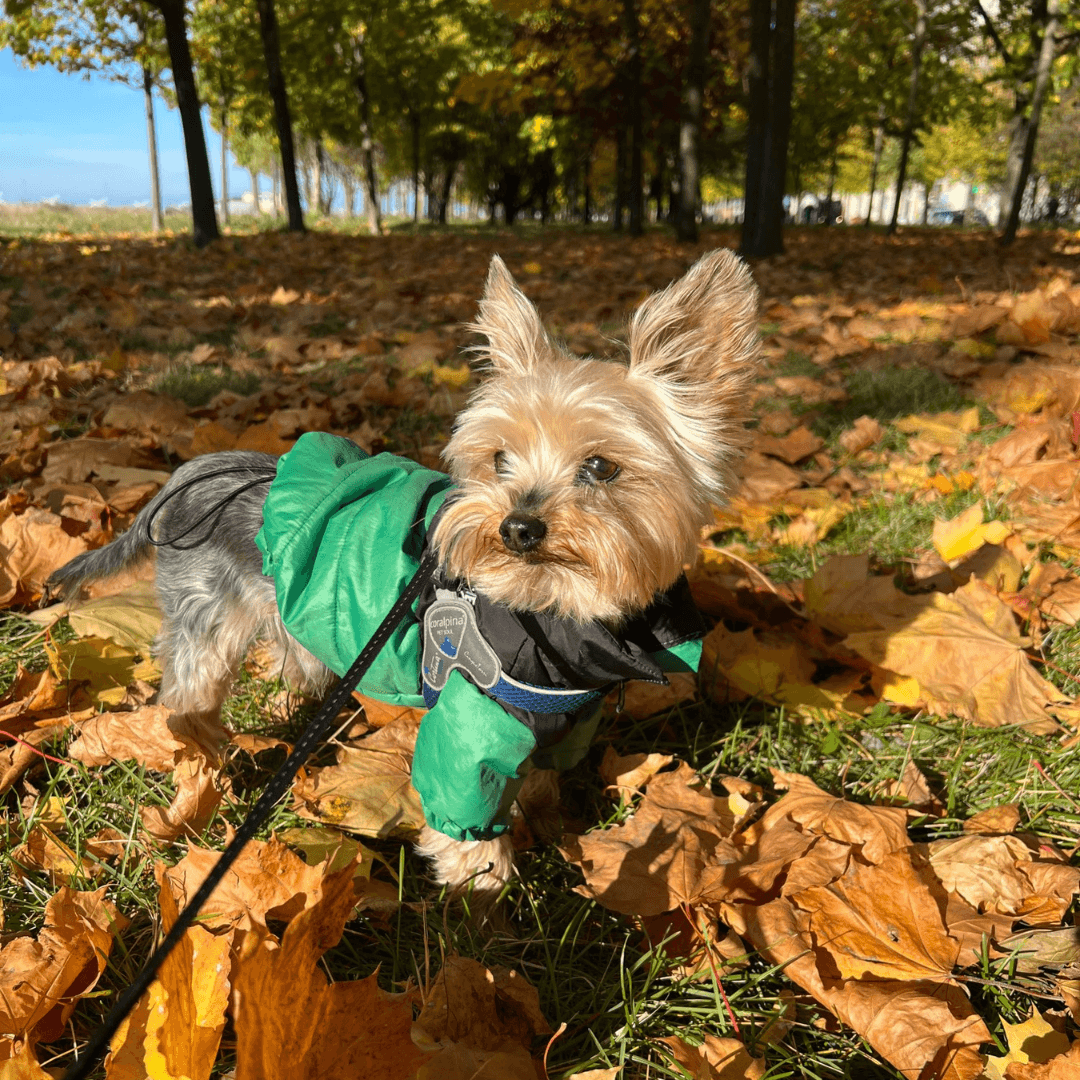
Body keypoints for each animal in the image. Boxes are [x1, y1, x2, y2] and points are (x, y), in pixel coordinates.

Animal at [48, 248, 760, 898]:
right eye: (499, 459)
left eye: (602, 467)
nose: (517, 527)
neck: (557, 610)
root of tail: (195, 471)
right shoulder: (474, 714)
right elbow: (466, 808)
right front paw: (482, 899)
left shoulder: (566, 717)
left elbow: (543, 777)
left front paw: (549, 822)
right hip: (207, 618)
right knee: (188, 690)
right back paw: (199, 757)